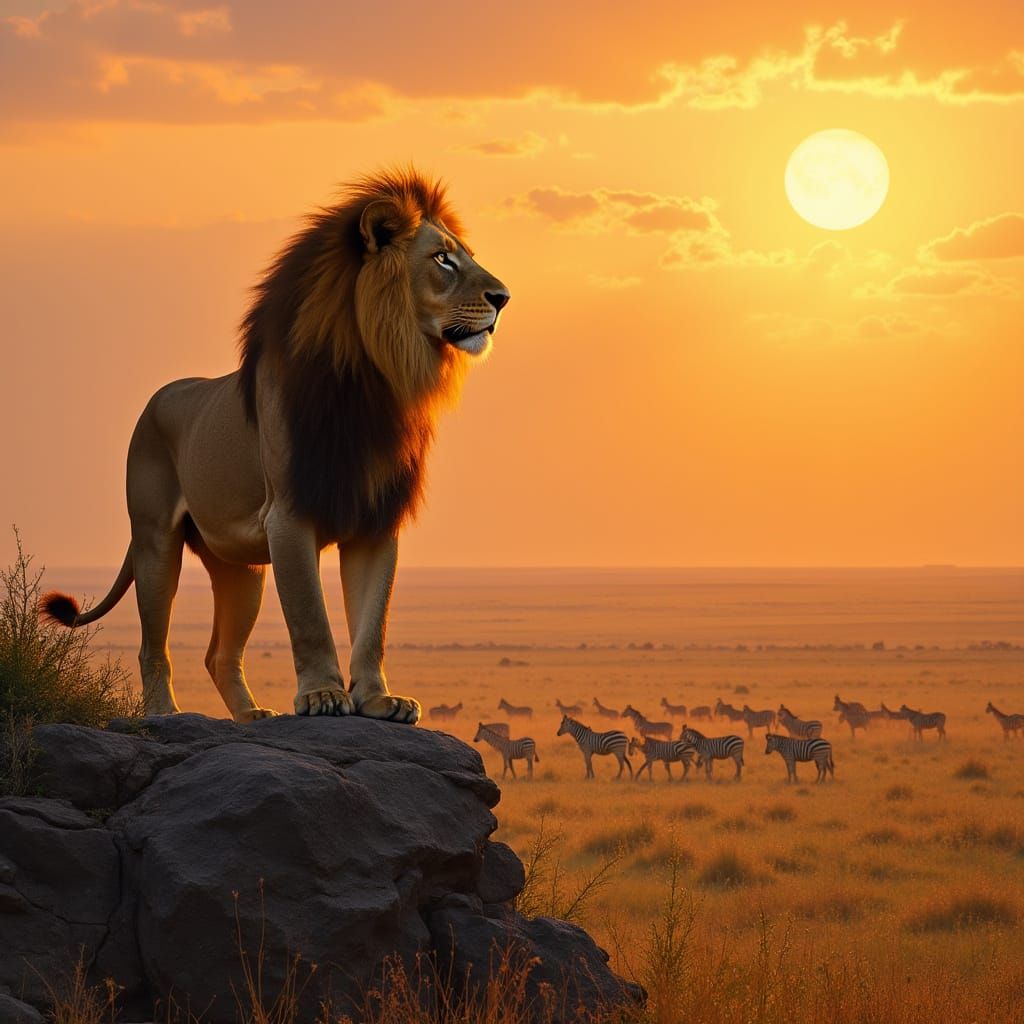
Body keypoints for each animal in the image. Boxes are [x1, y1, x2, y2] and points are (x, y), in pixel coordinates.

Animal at [42, 169, 510, 724]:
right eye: (442, 259)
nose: (503, 296)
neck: (376, 381)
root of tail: (161, 395)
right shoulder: (288, 515)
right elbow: (310, 617)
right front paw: (323, 696)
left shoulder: (376, 521)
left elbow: (373, 622)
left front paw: (379, 700)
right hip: (156, 541)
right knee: (152, 644)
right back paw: (164, 714)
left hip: (241, 569)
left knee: (219, 654)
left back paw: (252, 718)